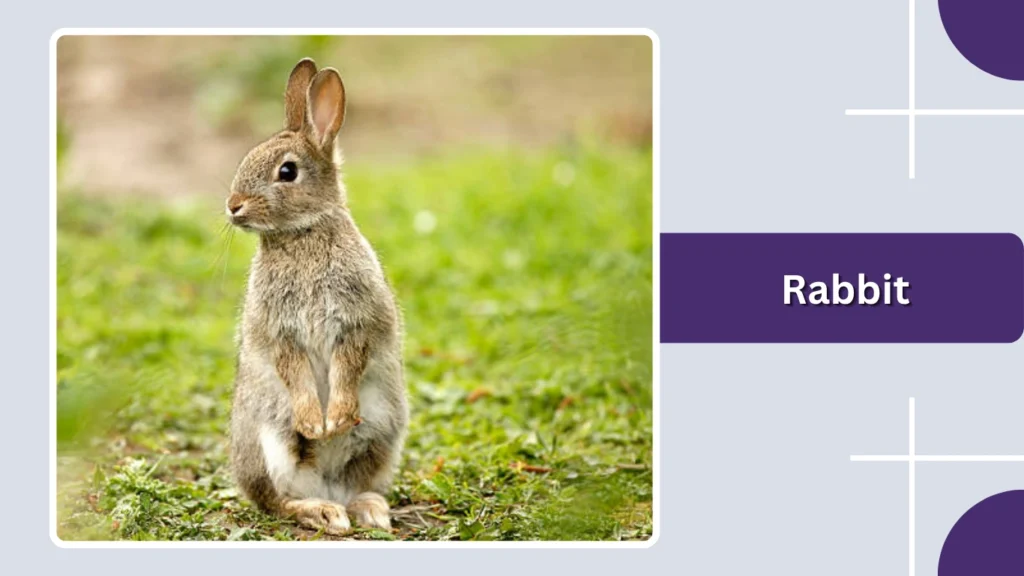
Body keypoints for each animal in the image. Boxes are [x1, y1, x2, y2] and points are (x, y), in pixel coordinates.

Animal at [225, 58, 408, 535]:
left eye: (287, 172)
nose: (233, 206)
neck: (302, 233)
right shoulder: (281, 333)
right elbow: (294, 371)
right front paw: (315, 423)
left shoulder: (356, 322)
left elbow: (349, 364)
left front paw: (336, 419)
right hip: (269, 443)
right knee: (279, 503)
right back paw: (323, 511)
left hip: (382, 434)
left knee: (356, 484)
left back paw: (367, 510)